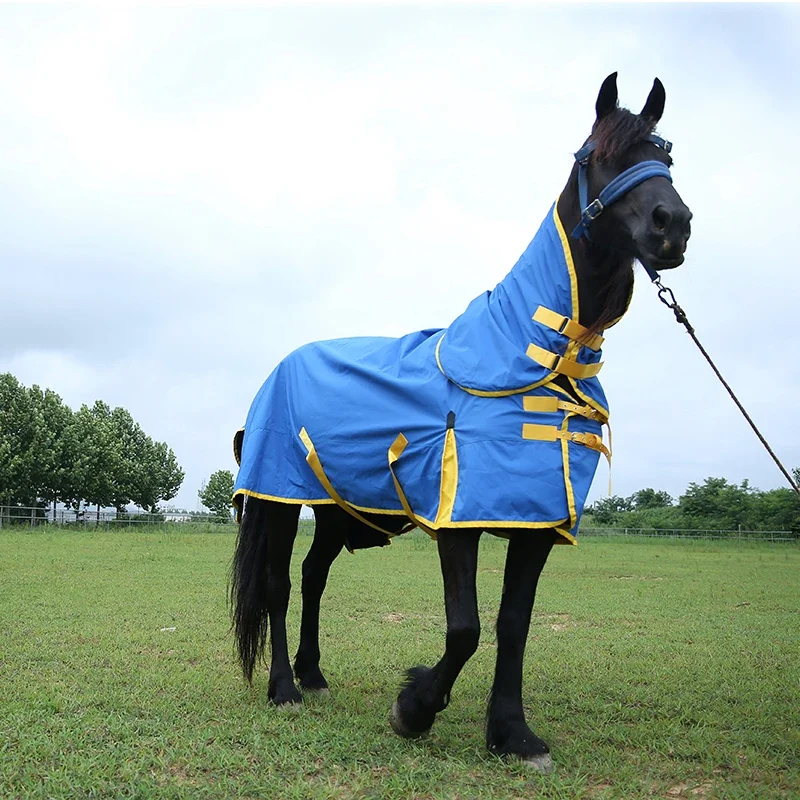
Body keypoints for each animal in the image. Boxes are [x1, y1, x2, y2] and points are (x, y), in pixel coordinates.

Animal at [228, 72, 692, 772]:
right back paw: (285, 687)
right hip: (277, 499)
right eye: (597, 156)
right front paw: (413, 709)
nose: (674, 224)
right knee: (280, 585)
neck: (533, 358)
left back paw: (312, 673)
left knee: (312, 578)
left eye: (666, 155)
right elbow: (465, 628)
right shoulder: (459, 519)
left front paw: (513, 733)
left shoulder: (535, 523)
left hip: (337, 509)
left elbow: (513, 624)